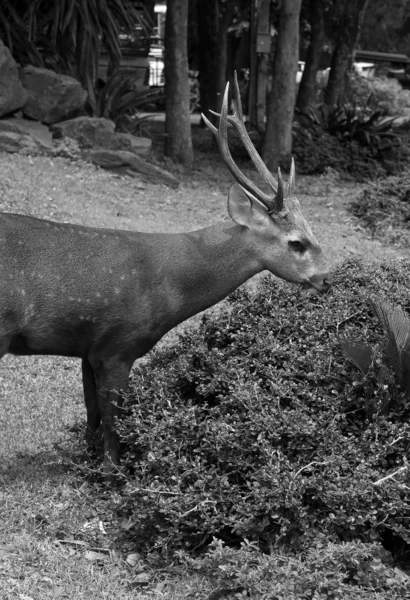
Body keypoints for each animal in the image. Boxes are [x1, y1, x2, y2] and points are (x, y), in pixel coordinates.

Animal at [0, 75, 332, 474]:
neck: (171, 286)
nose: (327, 278)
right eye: (297, 242)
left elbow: (92, 412)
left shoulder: (87, 347)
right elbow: (113, 417)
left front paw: (85, 463)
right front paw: (114, 472)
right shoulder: (119, 343)